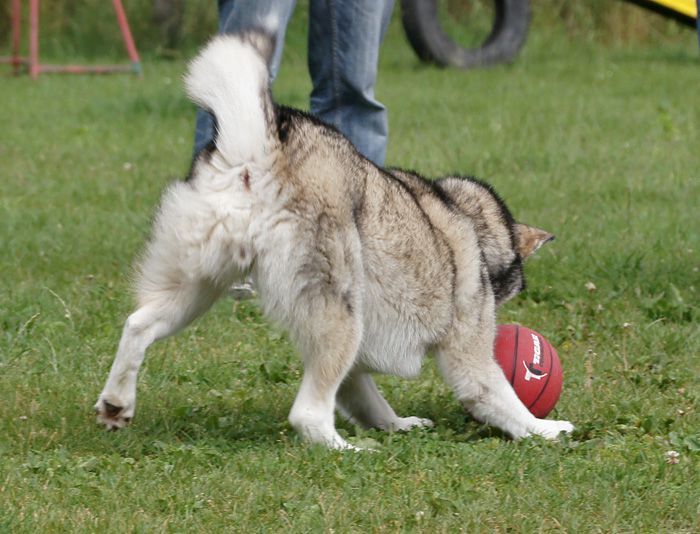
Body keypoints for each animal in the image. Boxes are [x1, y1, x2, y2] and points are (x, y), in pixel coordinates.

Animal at [94, 33, 576, 450]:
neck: (470, 221)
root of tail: (259, 151)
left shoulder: (358, 362)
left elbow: (366, 398)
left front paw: (397, 424)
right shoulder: (466, 354)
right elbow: (499, 397)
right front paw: (546, 430)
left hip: (199, 287)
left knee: (137, 325)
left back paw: (117, 402)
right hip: (339, 311)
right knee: (307, 414)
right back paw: (349, 450)